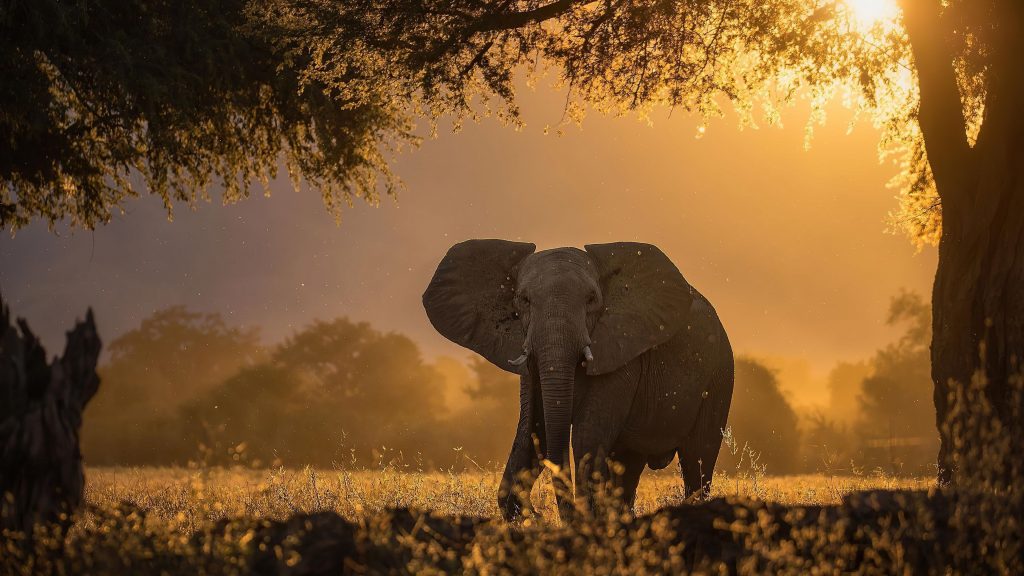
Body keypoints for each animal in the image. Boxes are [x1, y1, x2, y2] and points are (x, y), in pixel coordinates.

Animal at [419, 239, 733, 518]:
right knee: (629, 464)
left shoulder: (620, 352)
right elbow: (534, 429)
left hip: (719, 376)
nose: (537, 513)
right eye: (524, 300)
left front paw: (583, 518)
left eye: (592, 300)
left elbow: (586, 434)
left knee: (698, 460)